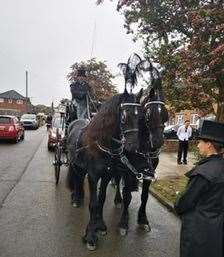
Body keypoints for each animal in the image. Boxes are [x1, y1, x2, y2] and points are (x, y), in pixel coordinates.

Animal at [67, 89, 144, 248]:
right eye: (124, 115)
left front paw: (100, 225)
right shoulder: (93, 176)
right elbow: (94, 203)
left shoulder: (107, 175)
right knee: (77, 179)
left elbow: (101, 199)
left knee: (79, 178)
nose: (133, 146)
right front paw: (90, 235)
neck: (101, 143)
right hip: (74, 163)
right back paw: (76, 198)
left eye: (140, 116)